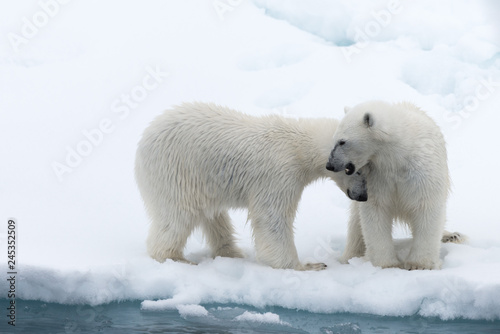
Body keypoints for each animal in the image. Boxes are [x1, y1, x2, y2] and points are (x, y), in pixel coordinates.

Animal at [134, 102, 368, 272]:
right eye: (354, 170)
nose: (362, 196)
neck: (298, 147)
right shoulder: (279, 174)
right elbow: (271, 218)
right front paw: (307, 265)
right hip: (176, 172)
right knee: (178, 216)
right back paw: (175, 258)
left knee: (213, 215)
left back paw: (232, 253)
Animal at [326, 100, 462, 270]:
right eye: (334, 139)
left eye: (342, 141)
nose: (330, 165)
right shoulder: (377, 176)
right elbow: (376, 209)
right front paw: (386, 264)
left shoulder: (421, 171)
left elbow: (426, 207)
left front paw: (420, 264)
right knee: (356, 223)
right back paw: (350, 256)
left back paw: (452, 235)